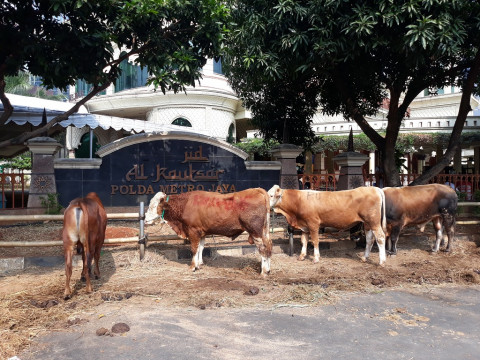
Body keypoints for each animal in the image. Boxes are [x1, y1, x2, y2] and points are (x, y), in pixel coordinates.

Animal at [144, 188, 272, 276]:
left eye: (153, 206)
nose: (145, 220)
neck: (185, 204)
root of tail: (256, 190)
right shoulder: (201, 232)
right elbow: (200, 248)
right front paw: (199, 264)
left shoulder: (193, 231)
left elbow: (194, 249)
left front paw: (192, 267)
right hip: (264, 232)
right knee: (268, 246)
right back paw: (268, 269)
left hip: (255, 232)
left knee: (263, 248)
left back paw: (264, 272)